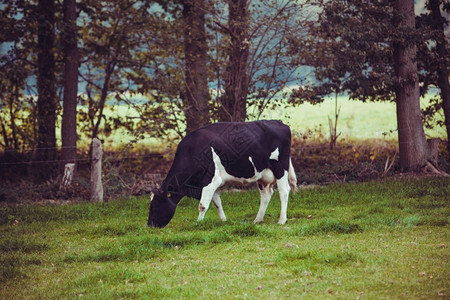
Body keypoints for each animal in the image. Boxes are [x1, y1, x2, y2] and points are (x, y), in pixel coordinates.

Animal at [146, 119, 298, 227]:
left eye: (156, 206)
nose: (149, 226)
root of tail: (279, 122)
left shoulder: (210, 180)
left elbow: (202, 205)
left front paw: (198, 223)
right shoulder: (211, 183)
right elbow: (217, 203)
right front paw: (224, 220)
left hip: (280, 168)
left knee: (284, 191)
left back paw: (282, 220)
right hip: (262, 174)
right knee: (266, 195)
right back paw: (257, 220)